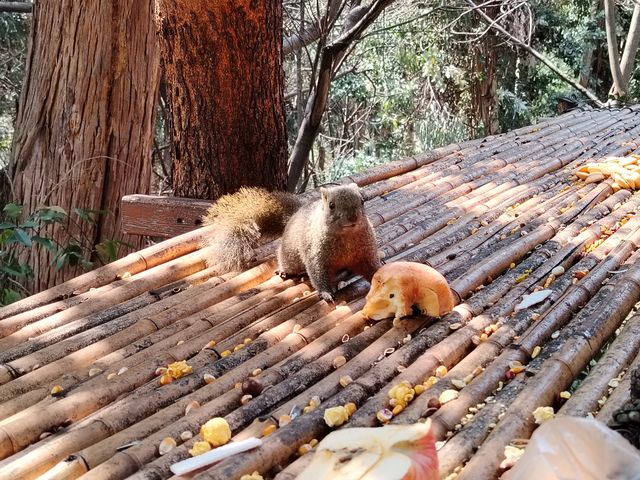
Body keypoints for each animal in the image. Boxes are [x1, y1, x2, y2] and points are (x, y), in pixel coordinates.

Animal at [202, 184, 380, 300]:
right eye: (331, 205)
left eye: (362, 201)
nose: (353, 218)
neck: (347, 236)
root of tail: (293, 217)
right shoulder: (316, 255)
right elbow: (318, 274)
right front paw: (326, 293)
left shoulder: (366, 253)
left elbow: (372, 267)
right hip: (290, 257)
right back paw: (284, 271)